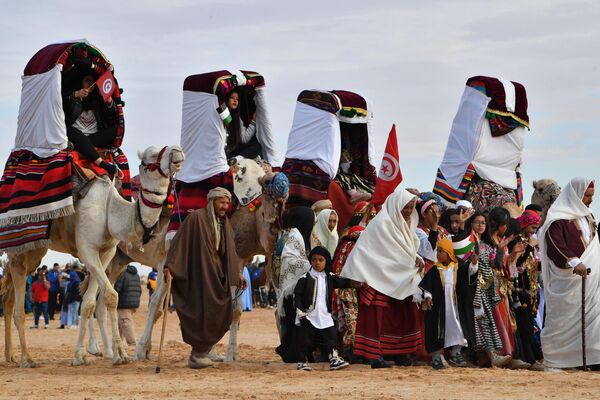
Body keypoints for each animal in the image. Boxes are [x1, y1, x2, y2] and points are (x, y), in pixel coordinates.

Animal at [1, 145, 184, 368]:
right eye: (150, 157)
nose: (177, 151)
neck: (109, 210)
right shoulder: (88, 251)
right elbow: (114, 297)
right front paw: (123, 353)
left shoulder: (106, 254)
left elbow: (89, 303)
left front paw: (81, 355)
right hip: (19, 246)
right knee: (17, 302)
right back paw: (27, 359)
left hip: (35, 251)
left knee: (9, 296)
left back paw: (11, 355)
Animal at [134, 159, 288, 362]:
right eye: (268, 198)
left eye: (284, 202)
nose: (275, 231)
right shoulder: (235, 255)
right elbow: (233, 308)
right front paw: (230, 354)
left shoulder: (254, 256)